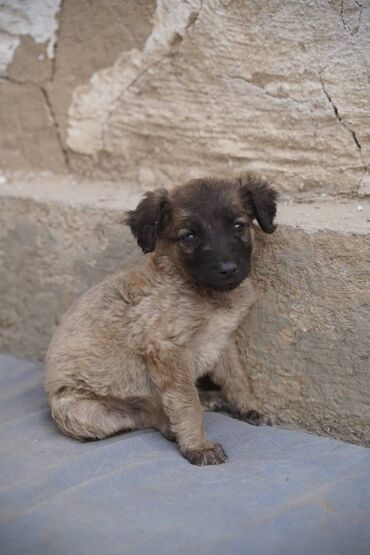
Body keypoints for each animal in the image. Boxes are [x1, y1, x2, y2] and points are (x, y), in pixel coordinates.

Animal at [44, 174, 278, 464]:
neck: (201, 290)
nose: (227, 269)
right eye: (188, 236)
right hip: (82, 414)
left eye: (238, 226)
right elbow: (186, 402)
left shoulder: (223, 340)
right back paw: (173, 426)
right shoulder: (167, 349)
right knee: (146, 413)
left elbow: (237, 377)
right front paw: (198, 445)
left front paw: (249, 408)